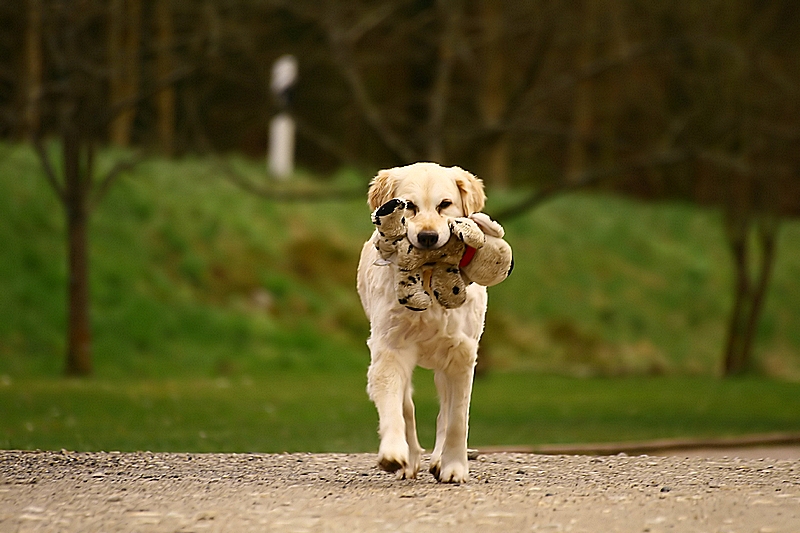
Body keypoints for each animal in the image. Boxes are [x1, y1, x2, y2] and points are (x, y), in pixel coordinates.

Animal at [356, 162, 488, 482]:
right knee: (408, 404)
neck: (429, 277)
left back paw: (439, 459)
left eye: (445, 204)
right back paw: (411, 459)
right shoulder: (390, 348)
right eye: (410, 206)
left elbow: (457, 418)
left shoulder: (462, 354)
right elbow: (396, 406)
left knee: (445, 411)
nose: (428, 237)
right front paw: (394, 453)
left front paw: (454, 466)